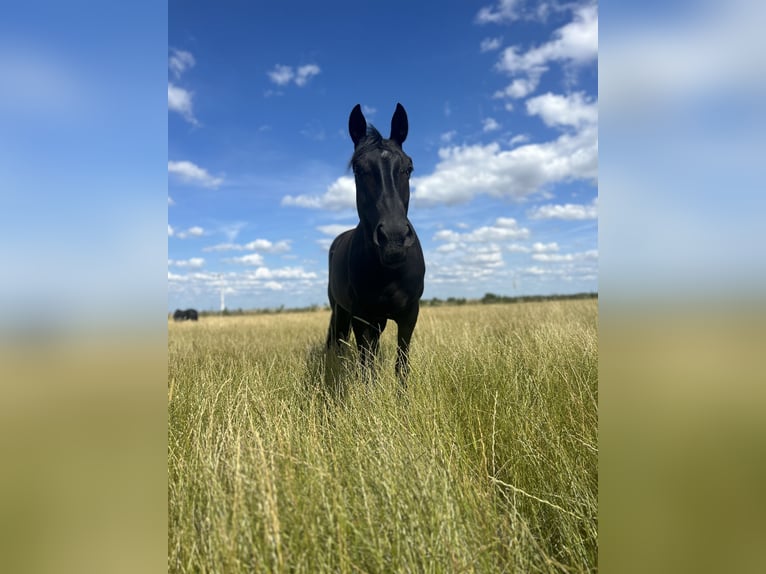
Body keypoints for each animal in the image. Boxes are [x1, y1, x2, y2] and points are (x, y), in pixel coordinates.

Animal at [328, 104, 428, 382]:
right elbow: (366, 369)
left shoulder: (409, 315)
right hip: (341, 310)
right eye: (358, 169)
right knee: (339, 342)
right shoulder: (361, 317)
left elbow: (401, 365)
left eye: (408, 167)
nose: (393, 238)